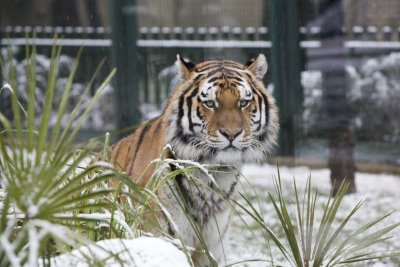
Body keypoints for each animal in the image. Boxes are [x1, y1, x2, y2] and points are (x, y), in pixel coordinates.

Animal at [109, 53, 278, 266]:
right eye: (210, 103)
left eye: (243, 103)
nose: (231, 134)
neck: (213, 176)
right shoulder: (157, 236)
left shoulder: (211, 248)